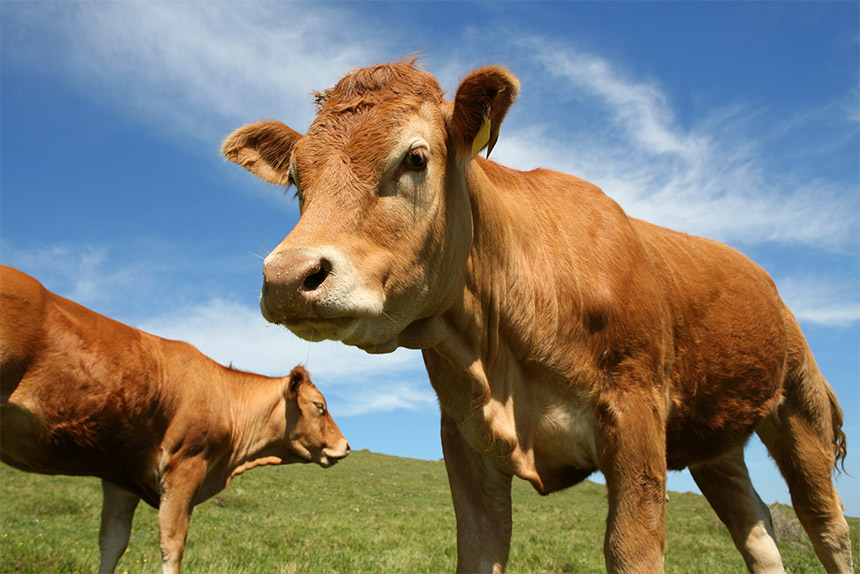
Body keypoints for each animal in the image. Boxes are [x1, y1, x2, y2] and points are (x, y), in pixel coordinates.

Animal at [0, 266, 350, 574]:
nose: (346, 446)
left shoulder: (120, 477)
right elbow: (173, 543)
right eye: (319, 406)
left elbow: (112, 542)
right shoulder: (186, 465)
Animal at [221, 60, 853, 573]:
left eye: (415, 158)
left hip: (801, 412)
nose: (287, 277)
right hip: (716, 444)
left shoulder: (636, 415)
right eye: (297, 177)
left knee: (828, 529)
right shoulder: (465, 439)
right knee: (758, 532)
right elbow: (479, 551)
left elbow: (632, 551)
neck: (501, 356)